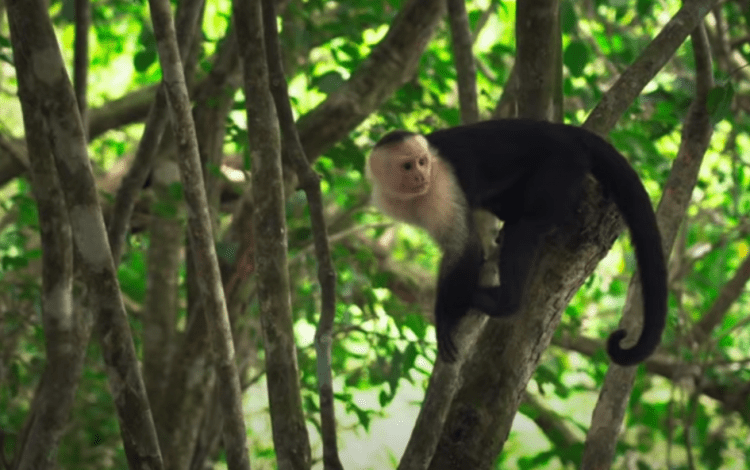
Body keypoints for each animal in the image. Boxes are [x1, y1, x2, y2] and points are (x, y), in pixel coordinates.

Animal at [368, 119, 668, 366]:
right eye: (408, 166)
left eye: (422, 162)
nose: (421, 175)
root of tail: (566, 130)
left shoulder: (440, 186)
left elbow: (463, 248)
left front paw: (446, 318)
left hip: (562, 161)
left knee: (526, 227)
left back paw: (505, 303)